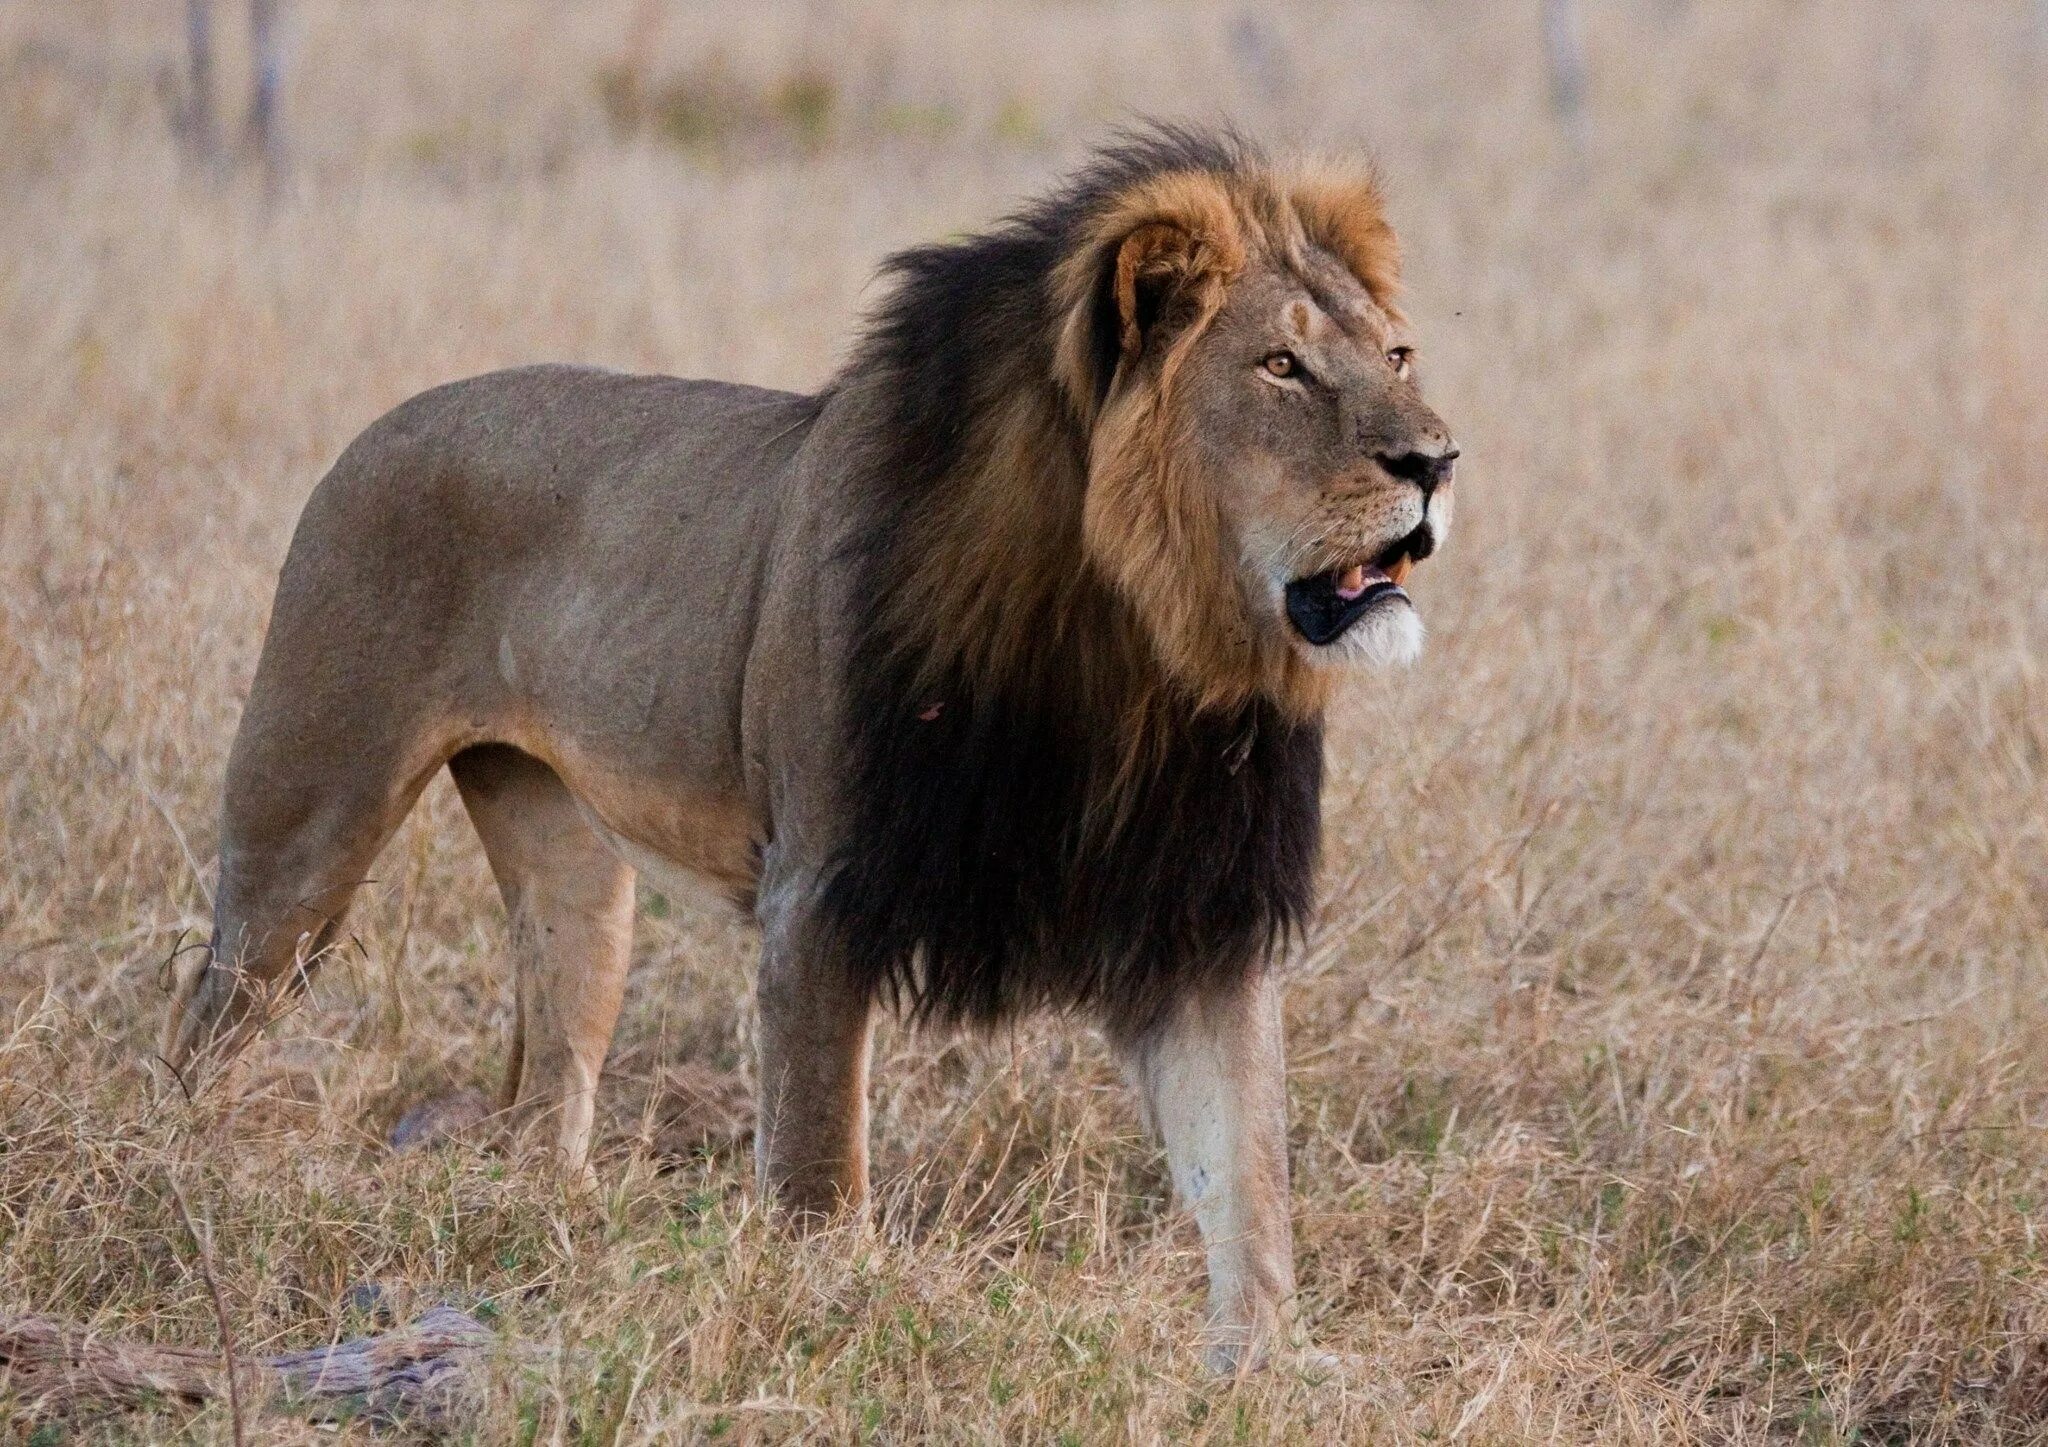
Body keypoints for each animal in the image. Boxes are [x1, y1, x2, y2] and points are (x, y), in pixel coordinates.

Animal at [163, 127, 1458, 1367]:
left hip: (571, 876)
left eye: (1397, 356)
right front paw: (839, 1323)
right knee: (203, 1029)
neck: (1131, 643)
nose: (1436, 462)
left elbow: (1246, 1170)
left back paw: (551, 1238)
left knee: (547, 1093)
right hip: (305, 827)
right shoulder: (820, 893)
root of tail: (380, 425)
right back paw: (185, 1178)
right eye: (1280, 366)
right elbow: (819, 1164)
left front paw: (1268, 1363)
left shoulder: (1196, 914)